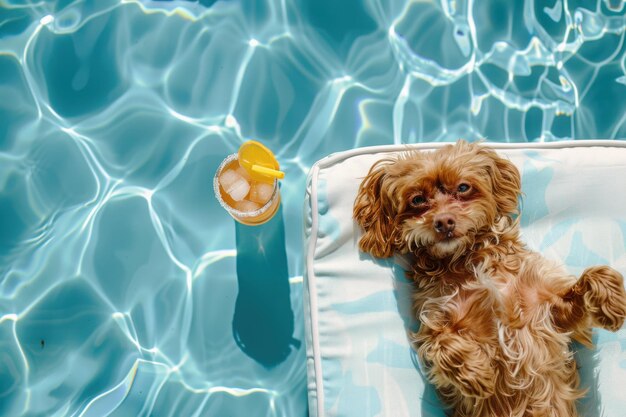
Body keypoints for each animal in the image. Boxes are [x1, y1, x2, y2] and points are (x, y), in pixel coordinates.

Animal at [352, 141, 624, 416]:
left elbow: (596, 275)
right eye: (417, 200)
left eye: (463, 187)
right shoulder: (434, 319)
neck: (468, 260)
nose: (444, 221)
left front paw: (611, 305)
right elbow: (440, 342)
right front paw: (477, 375)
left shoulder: (551, 314)